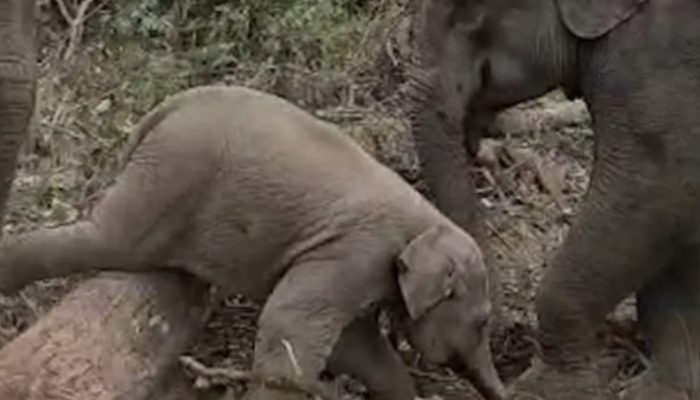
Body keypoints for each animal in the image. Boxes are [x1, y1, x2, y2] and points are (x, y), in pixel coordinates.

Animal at [0, 85, 506, 400]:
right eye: (482, 321)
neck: (429, 221)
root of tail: (168, 107)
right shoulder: (358, 251)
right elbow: (290, 323)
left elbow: (355, 344)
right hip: (172, 172)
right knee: (108, 238)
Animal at [407, 0, 700, 399]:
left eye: (467, 12)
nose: (500, 335)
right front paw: (665, 390)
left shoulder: (664, 59)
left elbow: (654, 189)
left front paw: (542, 388)